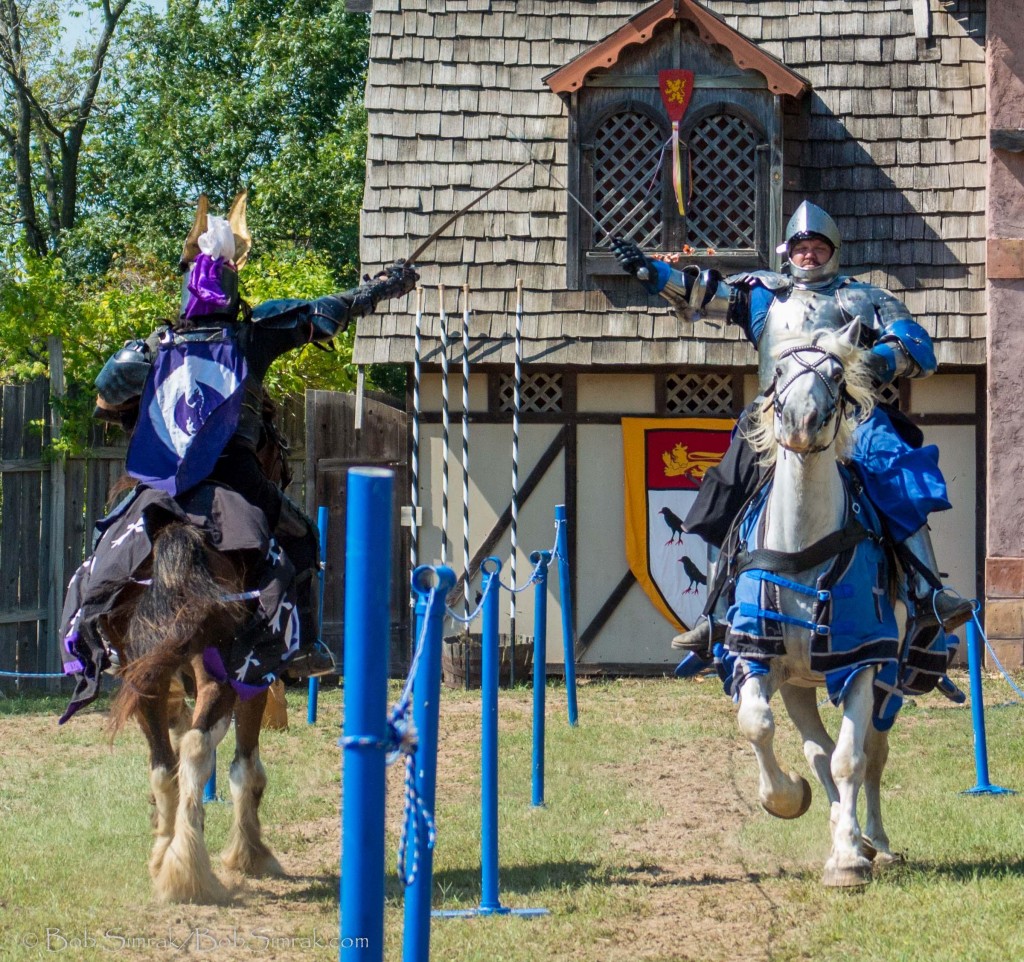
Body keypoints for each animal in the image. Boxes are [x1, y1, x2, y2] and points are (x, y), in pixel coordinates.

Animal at [733, 325, 901, 889]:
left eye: (834, 372)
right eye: (782, 370)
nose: (802, 423)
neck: (803, 549)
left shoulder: (863, 665)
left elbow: (853, 759)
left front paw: (848, 859)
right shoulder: (757, 657)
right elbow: (758, 725)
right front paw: (786, 799)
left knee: (871, 754)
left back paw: (875, 842)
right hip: (800, 684)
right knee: (818, 751)